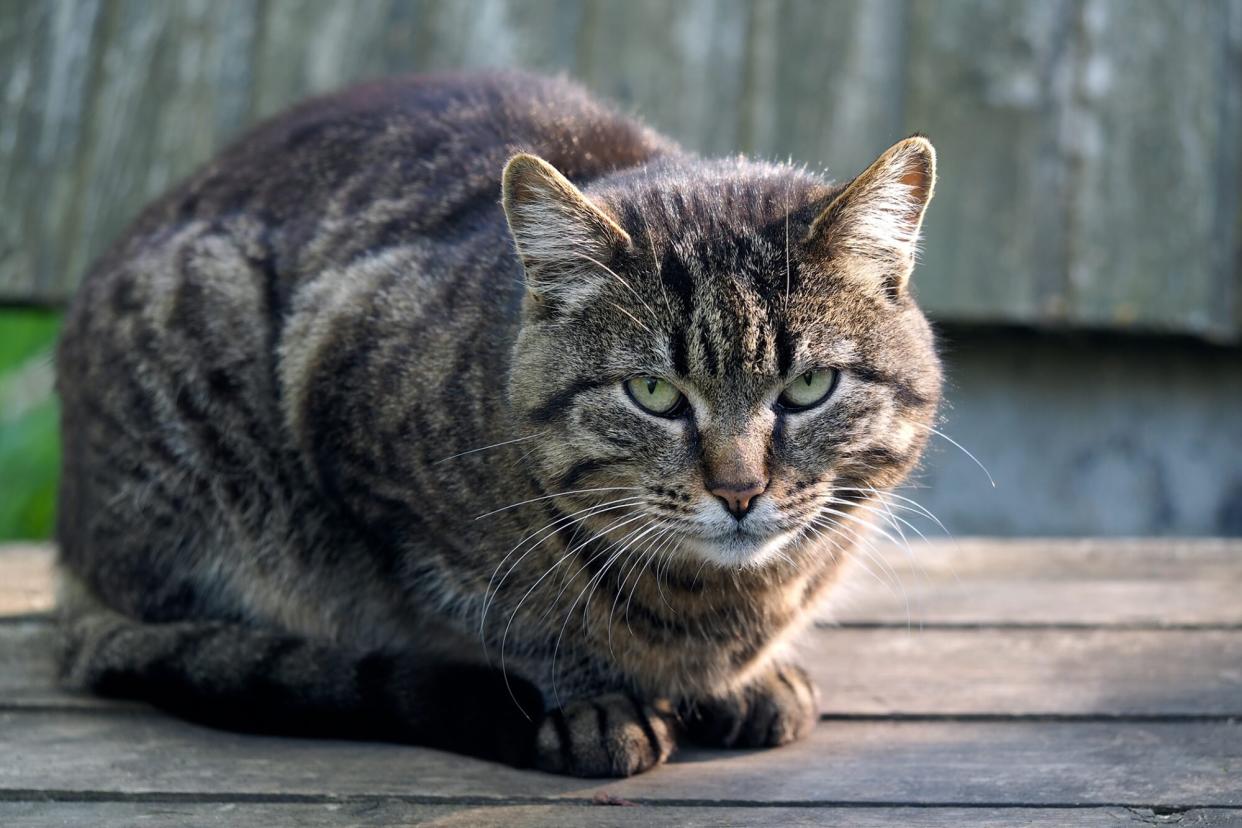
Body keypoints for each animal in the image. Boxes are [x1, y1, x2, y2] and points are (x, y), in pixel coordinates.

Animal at [50, 71, 938, 779]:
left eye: (809, 387)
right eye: (653, 393)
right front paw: (590, 698)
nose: (740, 490)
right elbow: (503, 610)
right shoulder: (351, 426)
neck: (717, 604)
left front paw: (754, 679)